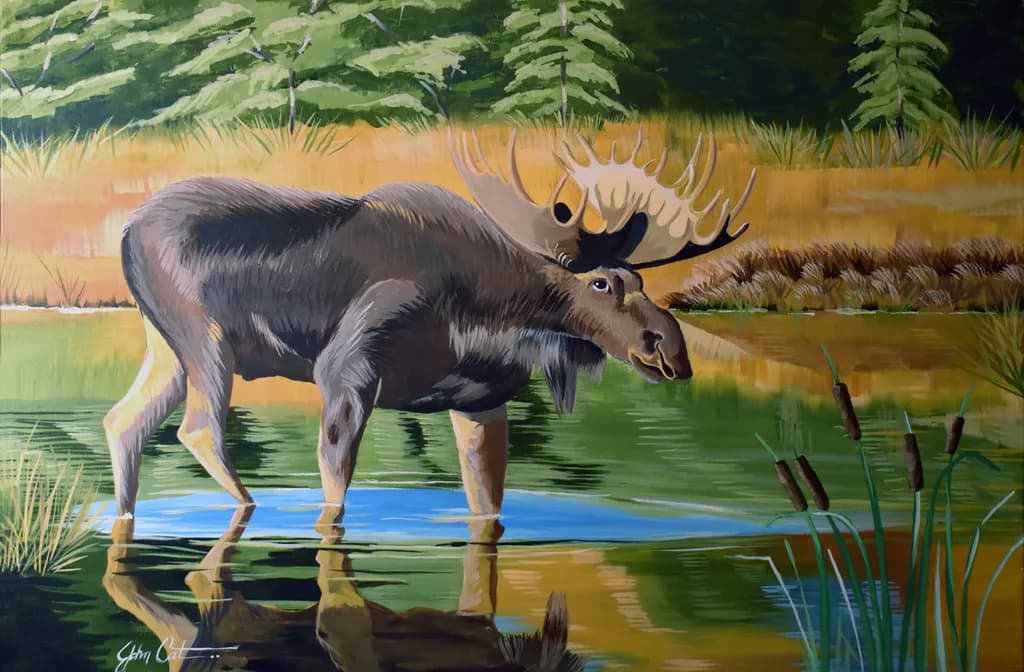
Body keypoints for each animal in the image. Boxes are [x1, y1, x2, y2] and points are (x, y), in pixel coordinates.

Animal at [103, 129, 756, 525]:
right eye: (602, 284)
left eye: (641, 281)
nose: (670, 351)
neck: (489, 316)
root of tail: (126, 231)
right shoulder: (346, 373)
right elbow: (335, 499)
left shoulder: (479, 403)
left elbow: (486, 506)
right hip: (205, 339)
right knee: (199, 430)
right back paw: (247, 510)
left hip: (166, 347)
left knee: (124, 421)